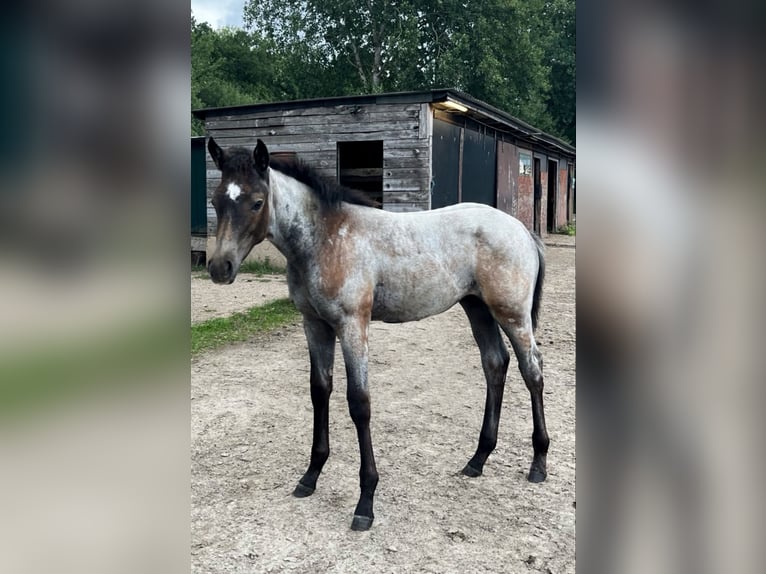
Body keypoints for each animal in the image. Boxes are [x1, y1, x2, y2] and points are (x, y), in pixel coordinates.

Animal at [206, 137, 549, 531]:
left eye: (257, 202)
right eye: (216, 200)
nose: (219, 268)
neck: (325, 237)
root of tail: (522, 230)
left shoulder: (353, 324)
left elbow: (359, 403)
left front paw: (366, 501)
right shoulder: (314, 324)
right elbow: (319, 392)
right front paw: (310, 476)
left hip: (512, 314)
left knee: (532, 371)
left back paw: (539, 463)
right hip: (477, 308)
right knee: (495, 364)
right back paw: (477, 459)